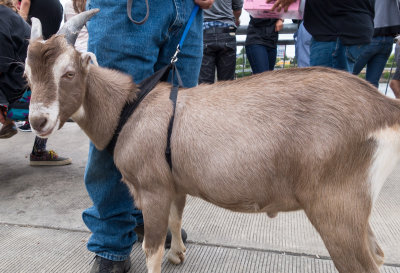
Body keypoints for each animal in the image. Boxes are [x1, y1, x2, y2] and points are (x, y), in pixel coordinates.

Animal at [25, 9, 400, 272]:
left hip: (336, 205)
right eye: (28, 76)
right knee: (378, 253)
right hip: (353, 206)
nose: (38, 120)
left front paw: (167, 255)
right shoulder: (173, 183)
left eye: (69, 73)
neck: (129, 108)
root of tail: (383, 107)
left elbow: (151, 249)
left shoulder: (152, 187)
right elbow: (176, 219)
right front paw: (178, 254)